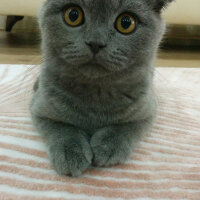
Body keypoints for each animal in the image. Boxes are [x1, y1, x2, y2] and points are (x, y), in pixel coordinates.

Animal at [30, 0, 174, 176]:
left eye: (126, 23)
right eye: (73, 15)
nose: (95, 43)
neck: (95, 93)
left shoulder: (148, 111)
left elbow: (128, 128)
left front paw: (108, 147)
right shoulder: (40, 110)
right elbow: (61, 127)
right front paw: (71, 153)